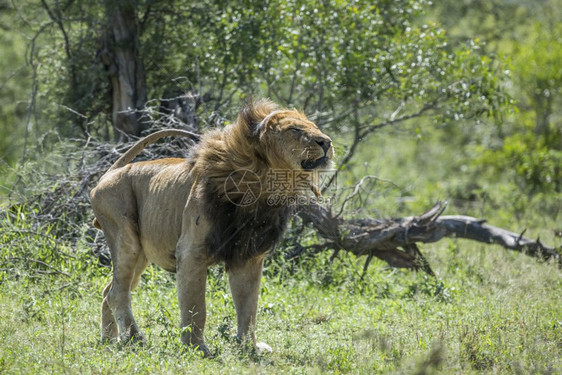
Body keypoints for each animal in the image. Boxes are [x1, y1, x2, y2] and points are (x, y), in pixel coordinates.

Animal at [89, 98, 330, 356]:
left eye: (315, 127)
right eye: (294, 130)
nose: (326, 142)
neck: (262, 187)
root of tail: (109, 173)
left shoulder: (248, 256)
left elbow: (248, 308)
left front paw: (250, 346)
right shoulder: (190, 252)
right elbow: (196, 306)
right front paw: (196, 347)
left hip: (140, 256)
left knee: (108, 291)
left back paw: (109, 338)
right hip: (125, 238)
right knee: (117, 294)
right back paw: (134, 338)